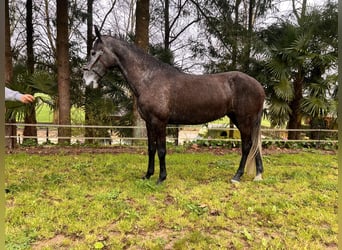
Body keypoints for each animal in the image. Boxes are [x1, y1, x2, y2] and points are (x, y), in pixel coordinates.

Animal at [83, 26, 264, 184]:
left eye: (93, 52)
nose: (86, 80)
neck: (149, 79)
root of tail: (259, 86)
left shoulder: (160, 122)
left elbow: (162, 150)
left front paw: (161, 178)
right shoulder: (149, 122)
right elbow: (151, 148)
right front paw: (147, 175)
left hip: (244, 120)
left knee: (247, 146)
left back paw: (237, 176)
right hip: (244, 121)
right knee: (254, 144)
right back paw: (258, 175)